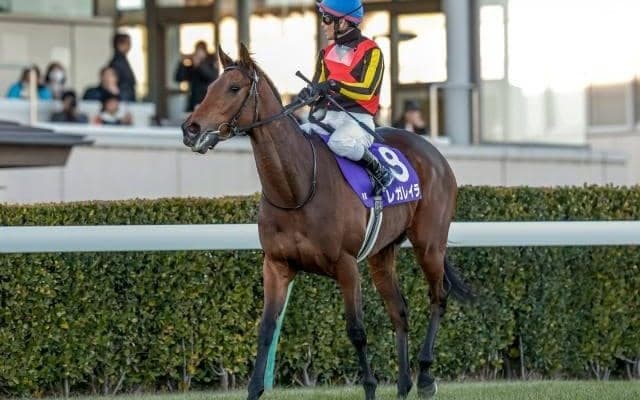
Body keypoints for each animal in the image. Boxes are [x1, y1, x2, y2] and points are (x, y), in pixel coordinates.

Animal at [182, 44, 474, 400]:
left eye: (234, 88)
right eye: (210, 87)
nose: (190, 129)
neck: (298, 187)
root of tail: (435, 153)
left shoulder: (346, 266)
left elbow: (357, 330)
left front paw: (370, 387)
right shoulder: (276, 264)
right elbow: (266, 329)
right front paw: (254, 389)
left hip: (429, 243)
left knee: (438, 296)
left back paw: (426, 376)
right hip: (382, 253)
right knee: (399, 309)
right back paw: (404, 384)